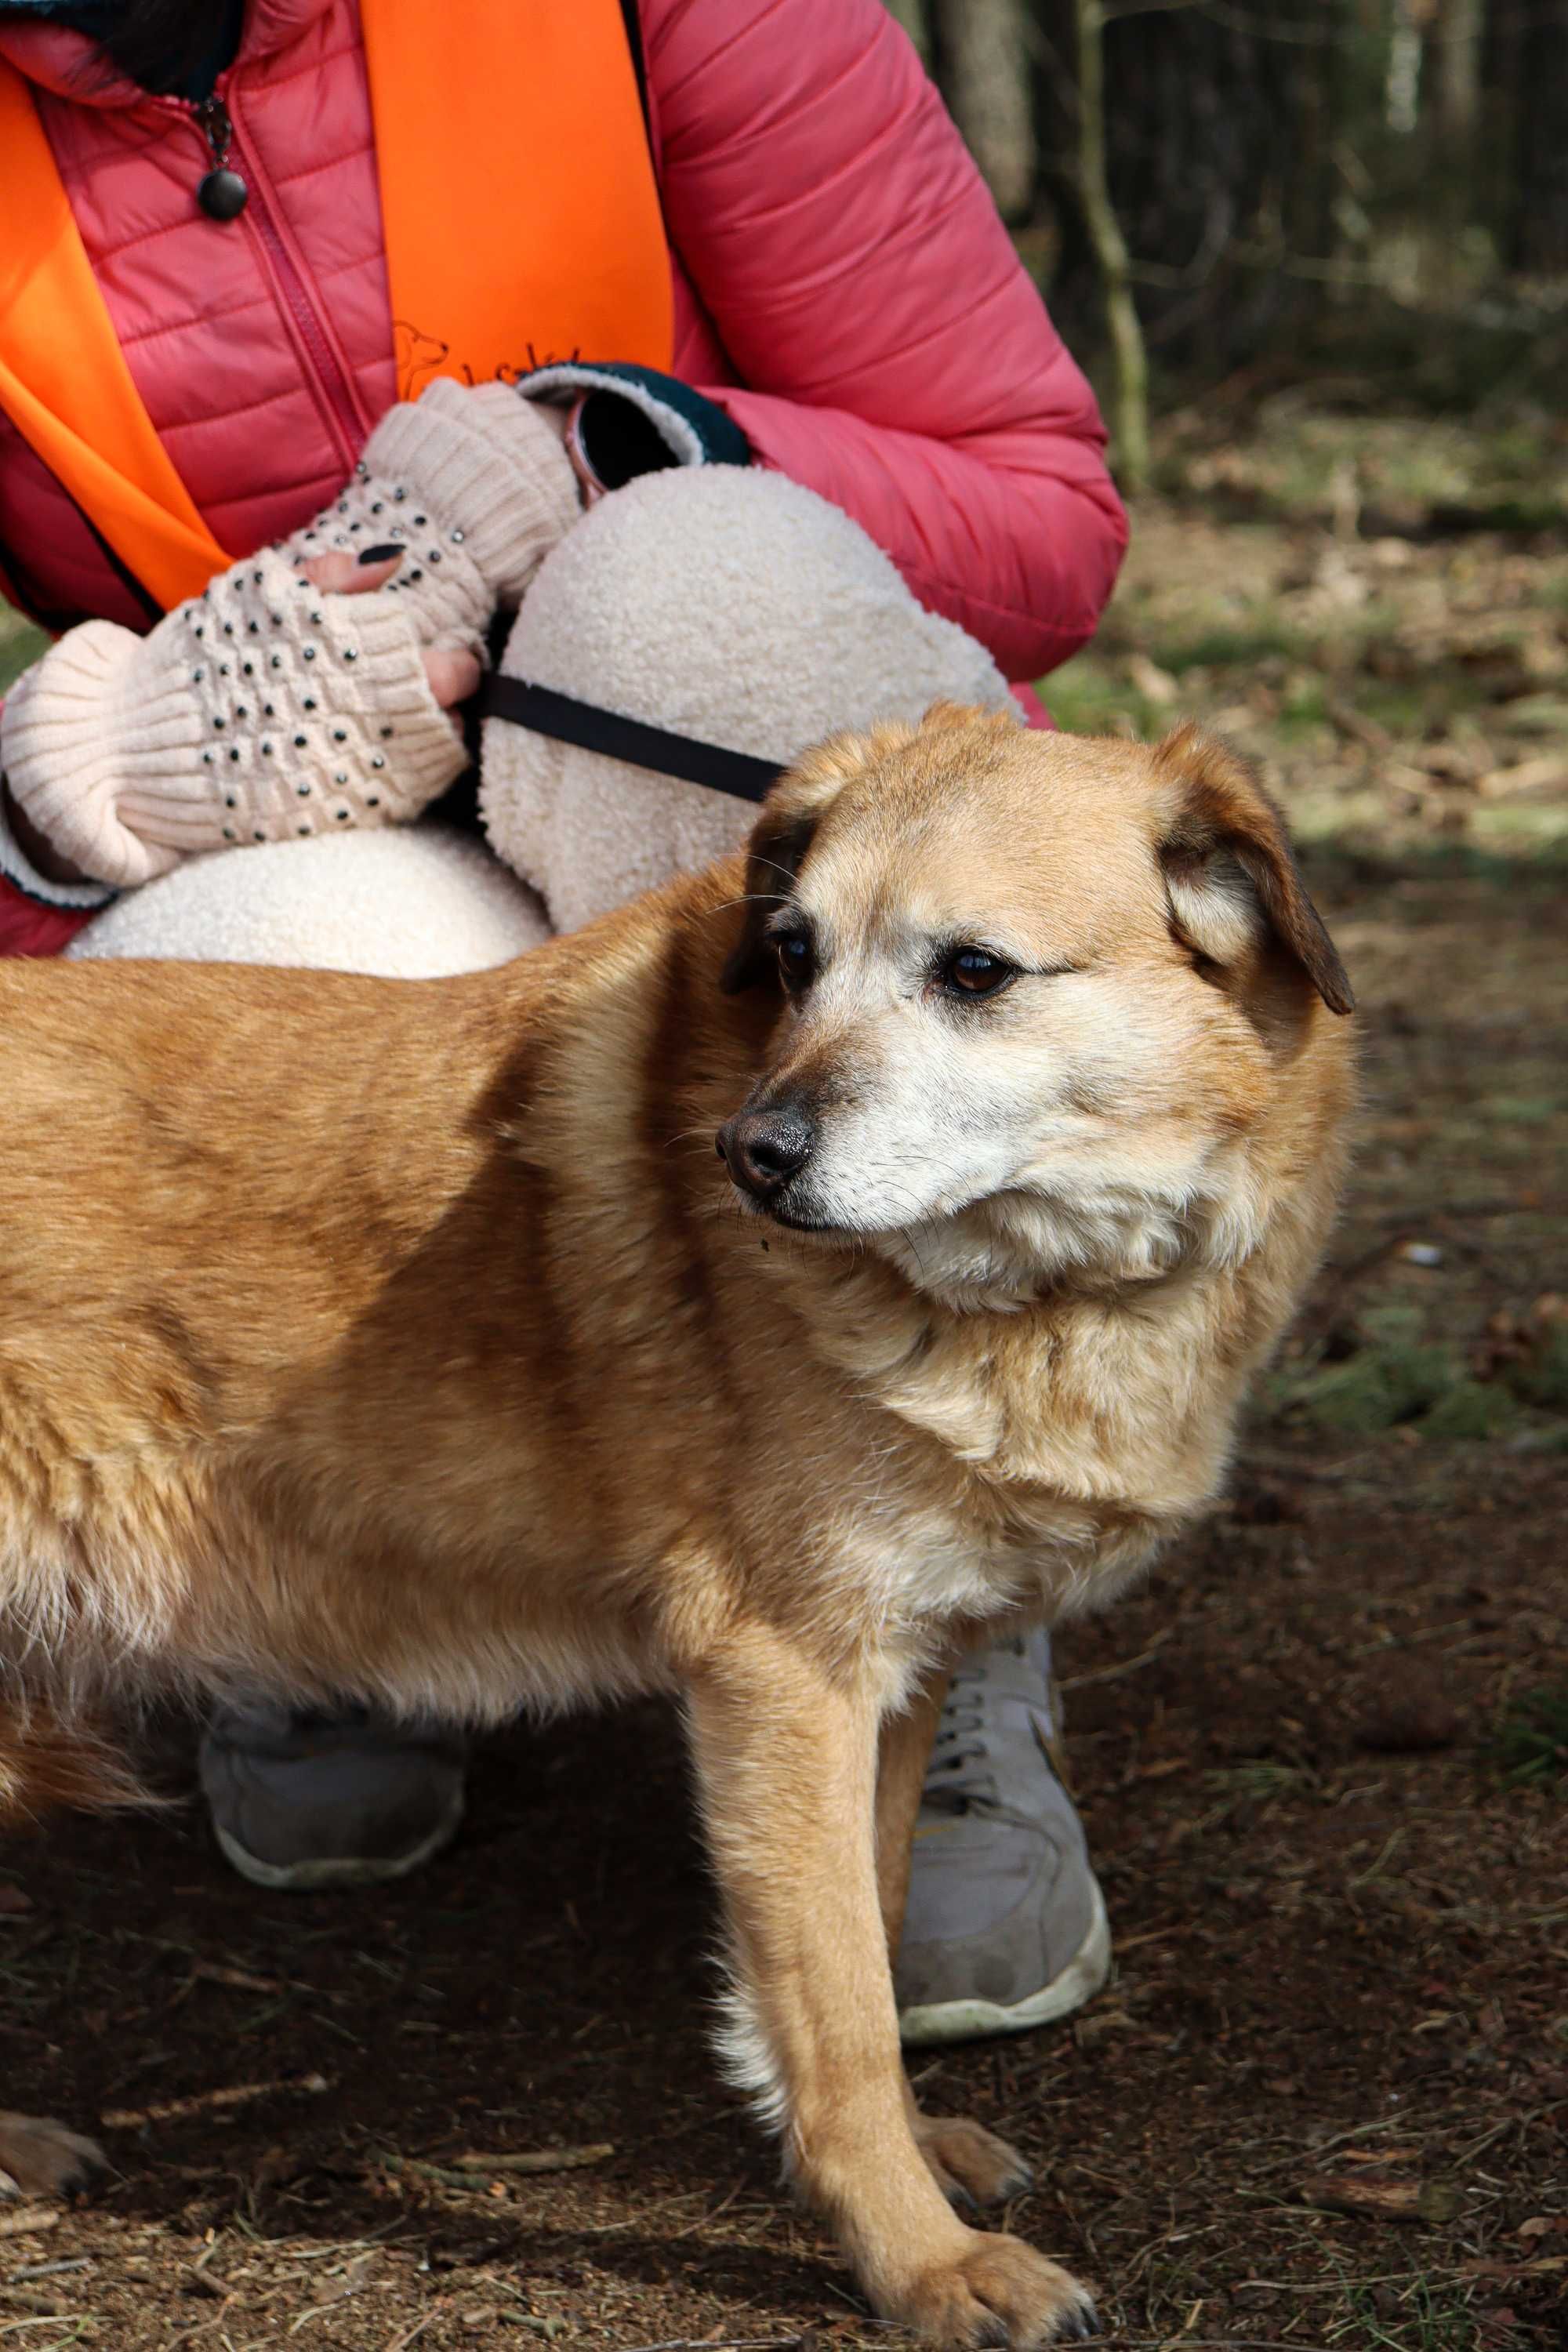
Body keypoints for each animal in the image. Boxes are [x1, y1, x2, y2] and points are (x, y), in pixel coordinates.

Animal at [0, 710, 1354, 2333]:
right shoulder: (780, 1679)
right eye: (794, 953)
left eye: (973, 972)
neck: (1042, 1288)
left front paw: (917, 2163)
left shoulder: (889, 1685)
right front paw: (920, 2259)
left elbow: (875, 1929)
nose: (748, 1155)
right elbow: (838, 2014)